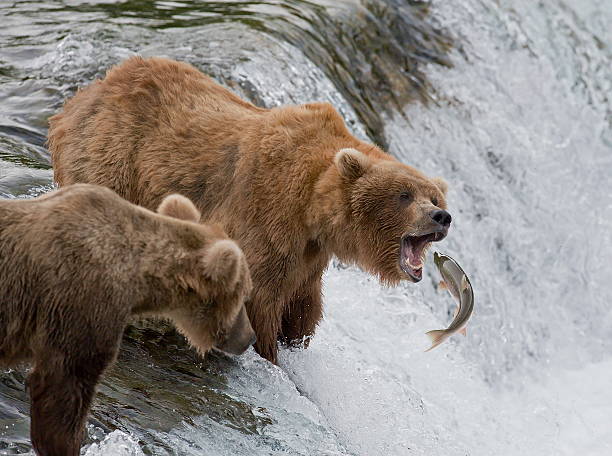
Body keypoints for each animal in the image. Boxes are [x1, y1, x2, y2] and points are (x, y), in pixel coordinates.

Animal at [49, 56, 450, 364]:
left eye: (433, 197)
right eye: (404, 194)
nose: (441, 217)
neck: (313, 208)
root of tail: (87, 92)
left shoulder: (308, 255)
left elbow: (303, 306)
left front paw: (294, 338)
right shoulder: (267, 213)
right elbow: (260, 297)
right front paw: (269, 352)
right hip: (113, 156)